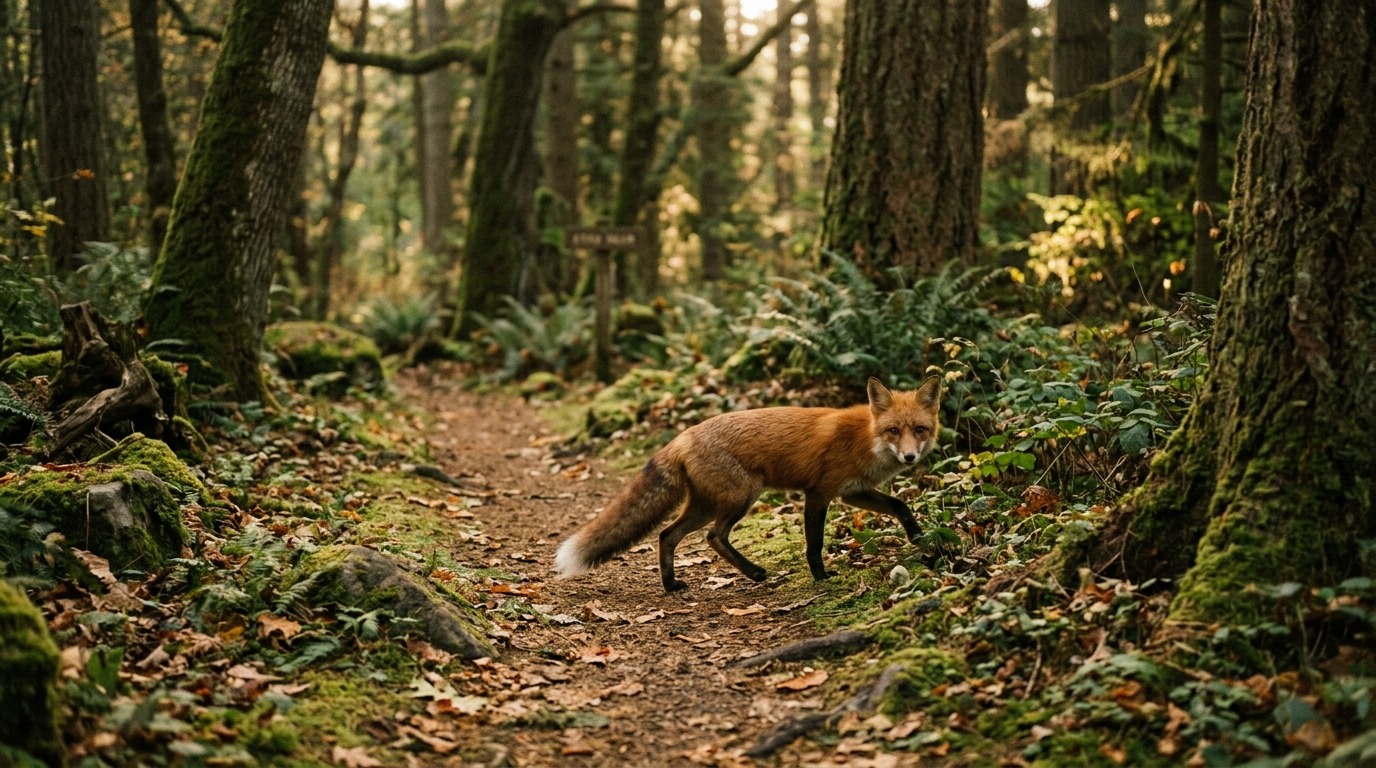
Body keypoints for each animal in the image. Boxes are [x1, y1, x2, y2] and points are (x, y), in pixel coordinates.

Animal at [554, 376, 941, 591]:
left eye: (919, 429)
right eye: (894, 430)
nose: (910, 458)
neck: (867, 438)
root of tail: (684, 435)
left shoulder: (852, 492)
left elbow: (900, 505)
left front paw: (918, 537)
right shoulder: (818, 492)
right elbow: (814, 543)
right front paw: (821, 577)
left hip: (706, 504)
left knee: (667, 535)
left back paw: (671, 585)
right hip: (742, 496)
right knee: (714, 537)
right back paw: (753, 573)